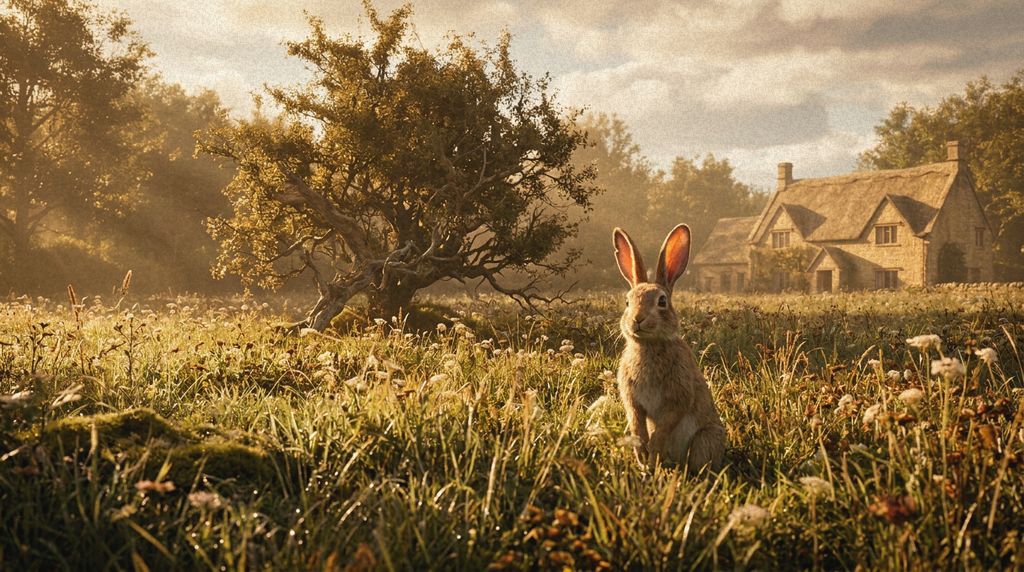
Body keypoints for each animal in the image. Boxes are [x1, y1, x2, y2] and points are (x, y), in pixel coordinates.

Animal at [613, 224, 726, 472]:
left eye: (662, 301)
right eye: (627, 302)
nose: (637, 319)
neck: (648, 346)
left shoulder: (677, 398)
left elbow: (664, 427)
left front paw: (653, 452)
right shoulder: (633, 401)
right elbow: (636, 423)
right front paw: (643, 456)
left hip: (705, 438)